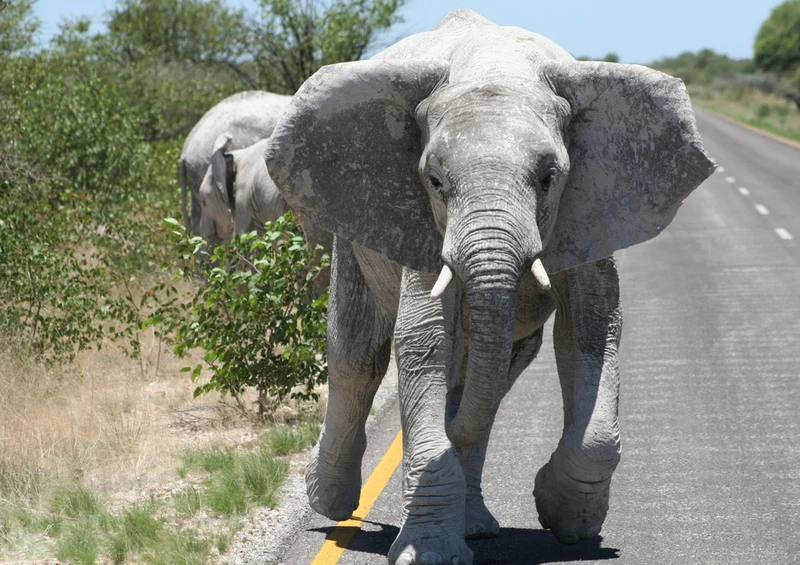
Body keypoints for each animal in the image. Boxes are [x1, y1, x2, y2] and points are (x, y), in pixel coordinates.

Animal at [265, 9, 714, 565]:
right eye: (435, 181)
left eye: (548, 178)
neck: (496, 65)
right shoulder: (419, 219)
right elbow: (423, 339)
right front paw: (430, 553)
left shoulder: (590, 206)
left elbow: (593, 327)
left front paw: (567, 519)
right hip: (350, 227)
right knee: (357, 356)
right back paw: (330, 500)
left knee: (495, 379)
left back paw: (476, 522)